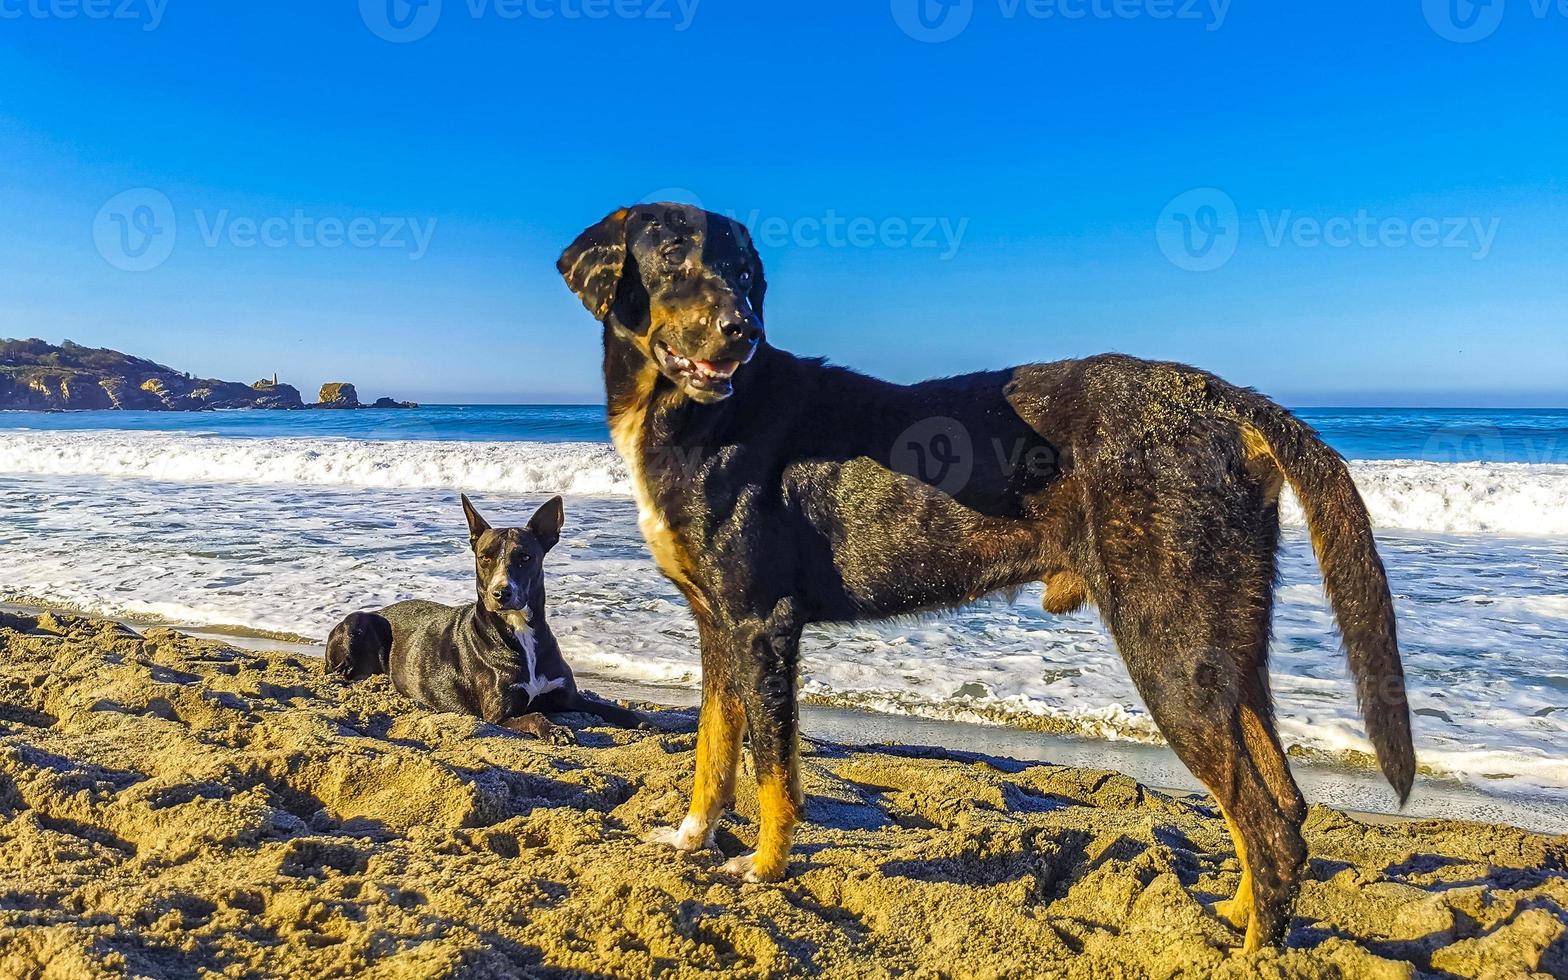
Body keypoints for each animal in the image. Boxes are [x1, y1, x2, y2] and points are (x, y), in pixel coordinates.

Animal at [327, 495, 646, 740]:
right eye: (484, 557)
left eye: (525, 557)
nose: (500, 593)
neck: (520, 630)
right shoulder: (498, 715)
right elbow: (535, 716)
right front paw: (554, 730)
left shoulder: (569, 697)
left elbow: (616, 710)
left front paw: (643, 720)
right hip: (358, 622)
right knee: (341, 671)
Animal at [558, 203, 1417, 947]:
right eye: (674, 255)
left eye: (743, 272)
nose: (744, 331)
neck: (695, 414)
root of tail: (1225, 397)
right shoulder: (718, 627)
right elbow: (711, 751)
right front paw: (690, 839)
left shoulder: (760, 625)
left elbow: (773, 773)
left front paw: (763, 870)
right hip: (1227, 646)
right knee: (1283, 812)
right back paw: (1236, 916)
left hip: (1170, 651)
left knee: (1266, 825)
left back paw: (1250, 948)